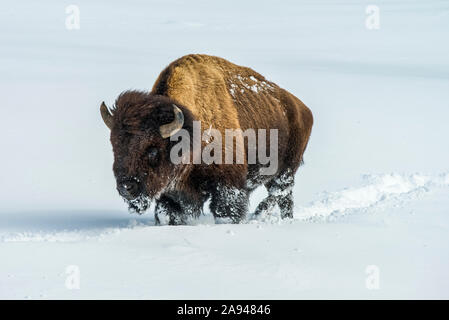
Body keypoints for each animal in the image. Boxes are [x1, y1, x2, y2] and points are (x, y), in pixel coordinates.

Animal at [100, 54, 312, 225]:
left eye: (152, 149)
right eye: (115, 147)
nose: (127, 187)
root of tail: (303, 109)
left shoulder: (228, 186)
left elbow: (227, 212)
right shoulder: (173, 192)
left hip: (285, 172)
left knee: (281, 193)